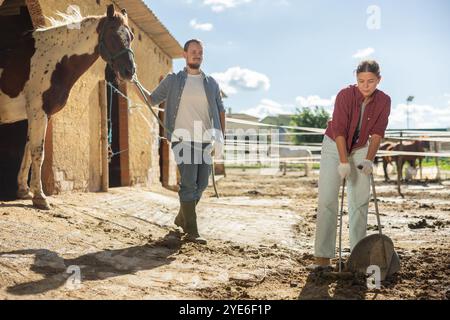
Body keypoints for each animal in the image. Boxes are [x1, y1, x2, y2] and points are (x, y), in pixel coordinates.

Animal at [0, 5, 135, 210]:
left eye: (131, 37)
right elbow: (38, 152)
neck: (51, 59)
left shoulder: (38, 114)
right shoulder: (39, 113)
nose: (130, 71)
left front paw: (24, 191)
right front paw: (40, 197)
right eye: (113, 34)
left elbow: (28, 150)